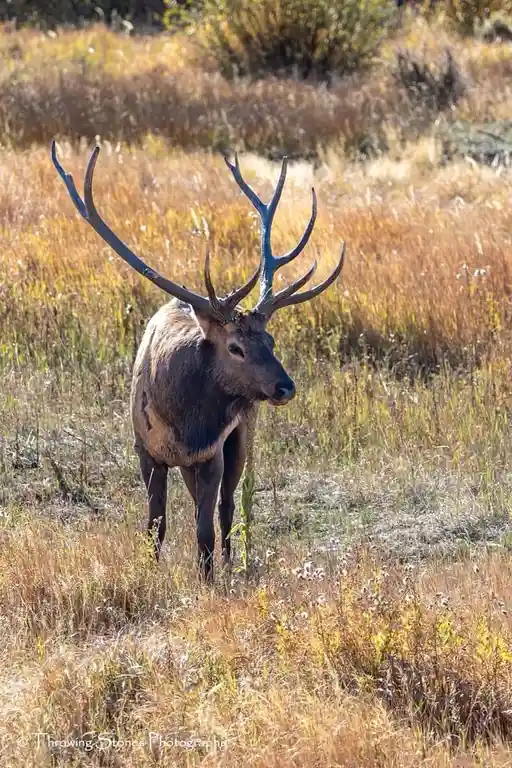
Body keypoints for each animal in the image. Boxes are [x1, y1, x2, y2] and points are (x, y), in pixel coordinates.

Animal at [51, 142, 345, 581]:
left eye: (271, 339)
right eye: (235, 347)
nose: (285, 386)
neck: (182, 424)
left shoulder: (211, 453)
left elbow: (206, 528)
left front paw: (208, 578)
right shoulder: (145, 450)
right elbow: (155, 524)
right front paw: (151, 569)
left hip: (241, 436)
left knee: (231, 505)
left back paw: (235, 560)